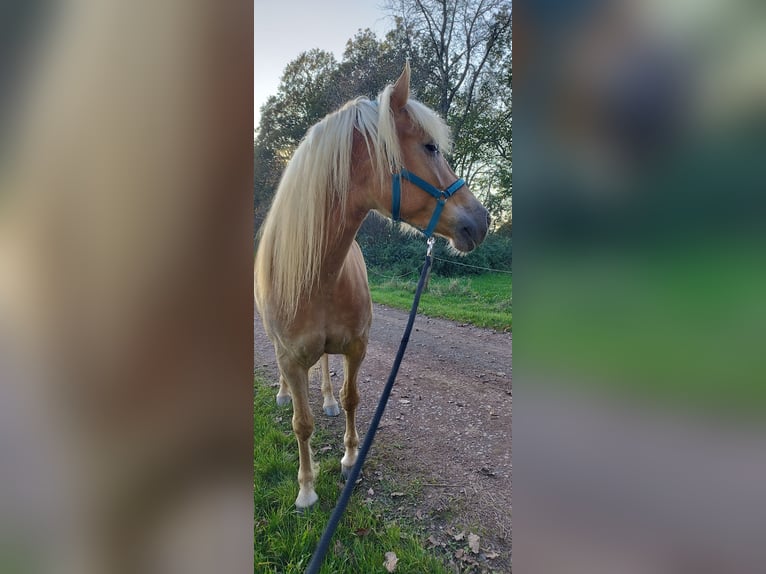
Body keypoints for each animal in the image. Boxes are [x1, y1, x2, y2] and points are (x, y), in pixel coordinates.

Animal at [255, 63, 488, 510]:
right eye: (430, 147)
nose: (481, 221)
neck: (319, 275)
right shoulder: (291, 358)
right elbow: (301, 423)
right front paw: (306, 490)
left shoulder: (357, 346)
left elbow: (352, 399)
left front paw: (348, 459)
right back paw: (282, 395)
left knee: (326, 371)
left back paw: (327, 399)